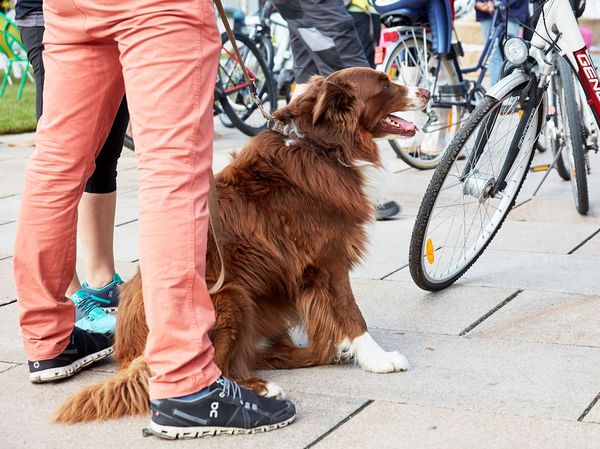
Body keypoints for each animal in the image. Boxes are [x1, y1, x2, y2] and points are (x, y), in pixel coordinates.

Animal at [54, 65, 428, 420]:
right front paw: (378, 359)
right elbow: (352, 315)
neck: (322, 146)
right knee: (216, 370)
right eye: (384, 84)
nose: (426, 91)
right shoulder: (328, 261)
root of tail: (128, 349)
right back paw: (260, 390)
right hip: (231, 295)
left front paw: (342, 349)